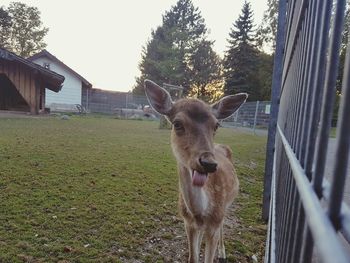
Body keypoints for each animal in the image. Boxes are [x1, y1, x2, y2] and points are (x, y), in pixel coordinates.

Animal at [144, 80, 247, 263]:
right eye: (177, 124)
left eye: (216, 125)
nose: (208, 163)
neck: (200, 214)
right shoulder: (188, 223)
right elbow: (193, 257)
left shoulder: (214, 223)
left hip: (227, 205)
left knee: (223, 224)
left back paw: (222, 253)